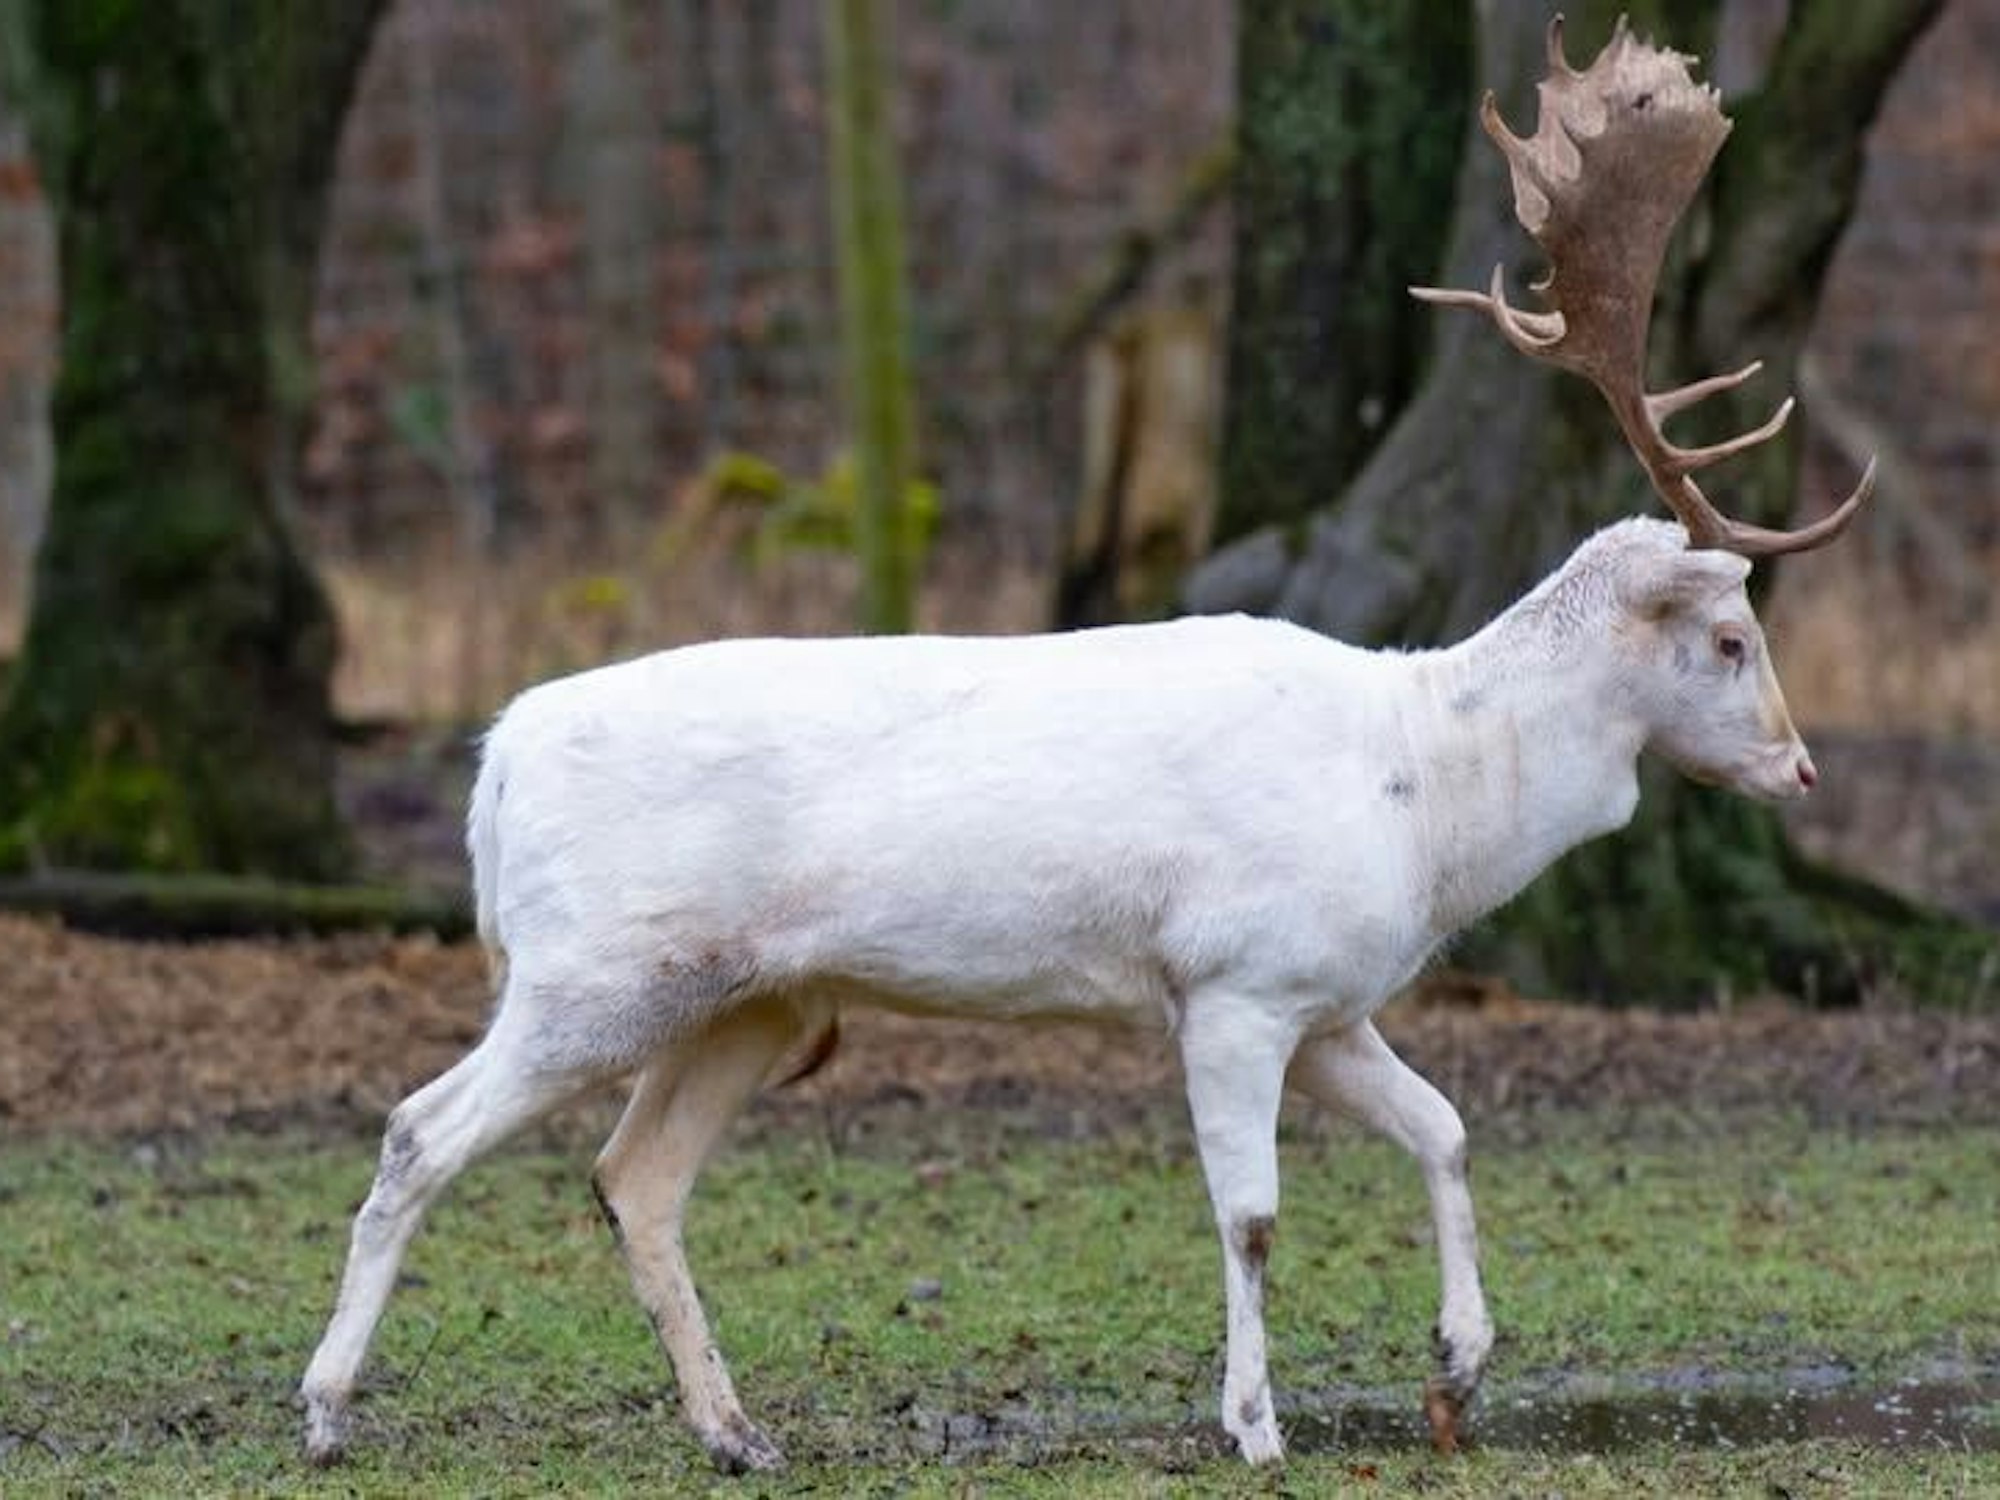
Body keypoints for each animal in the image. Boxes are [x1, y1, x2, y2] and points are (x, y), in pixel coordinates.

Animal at [301, 17, 1873, 1472]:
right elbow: (1251, 1215)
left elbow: (1445, 1126)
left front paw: (1455, 1376)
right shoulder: (1234, 981)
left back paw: (737, 1433)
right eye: (1729, 640)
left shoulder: (1330, 1000)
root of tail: (497, 759)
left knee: (634, 1176)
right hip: (590, 968)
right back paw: (324, 1414)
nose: (1801, 769)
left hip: (750, 1001)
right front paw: (1255, 1427)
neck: (1425, 803)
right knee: (420, 1127)